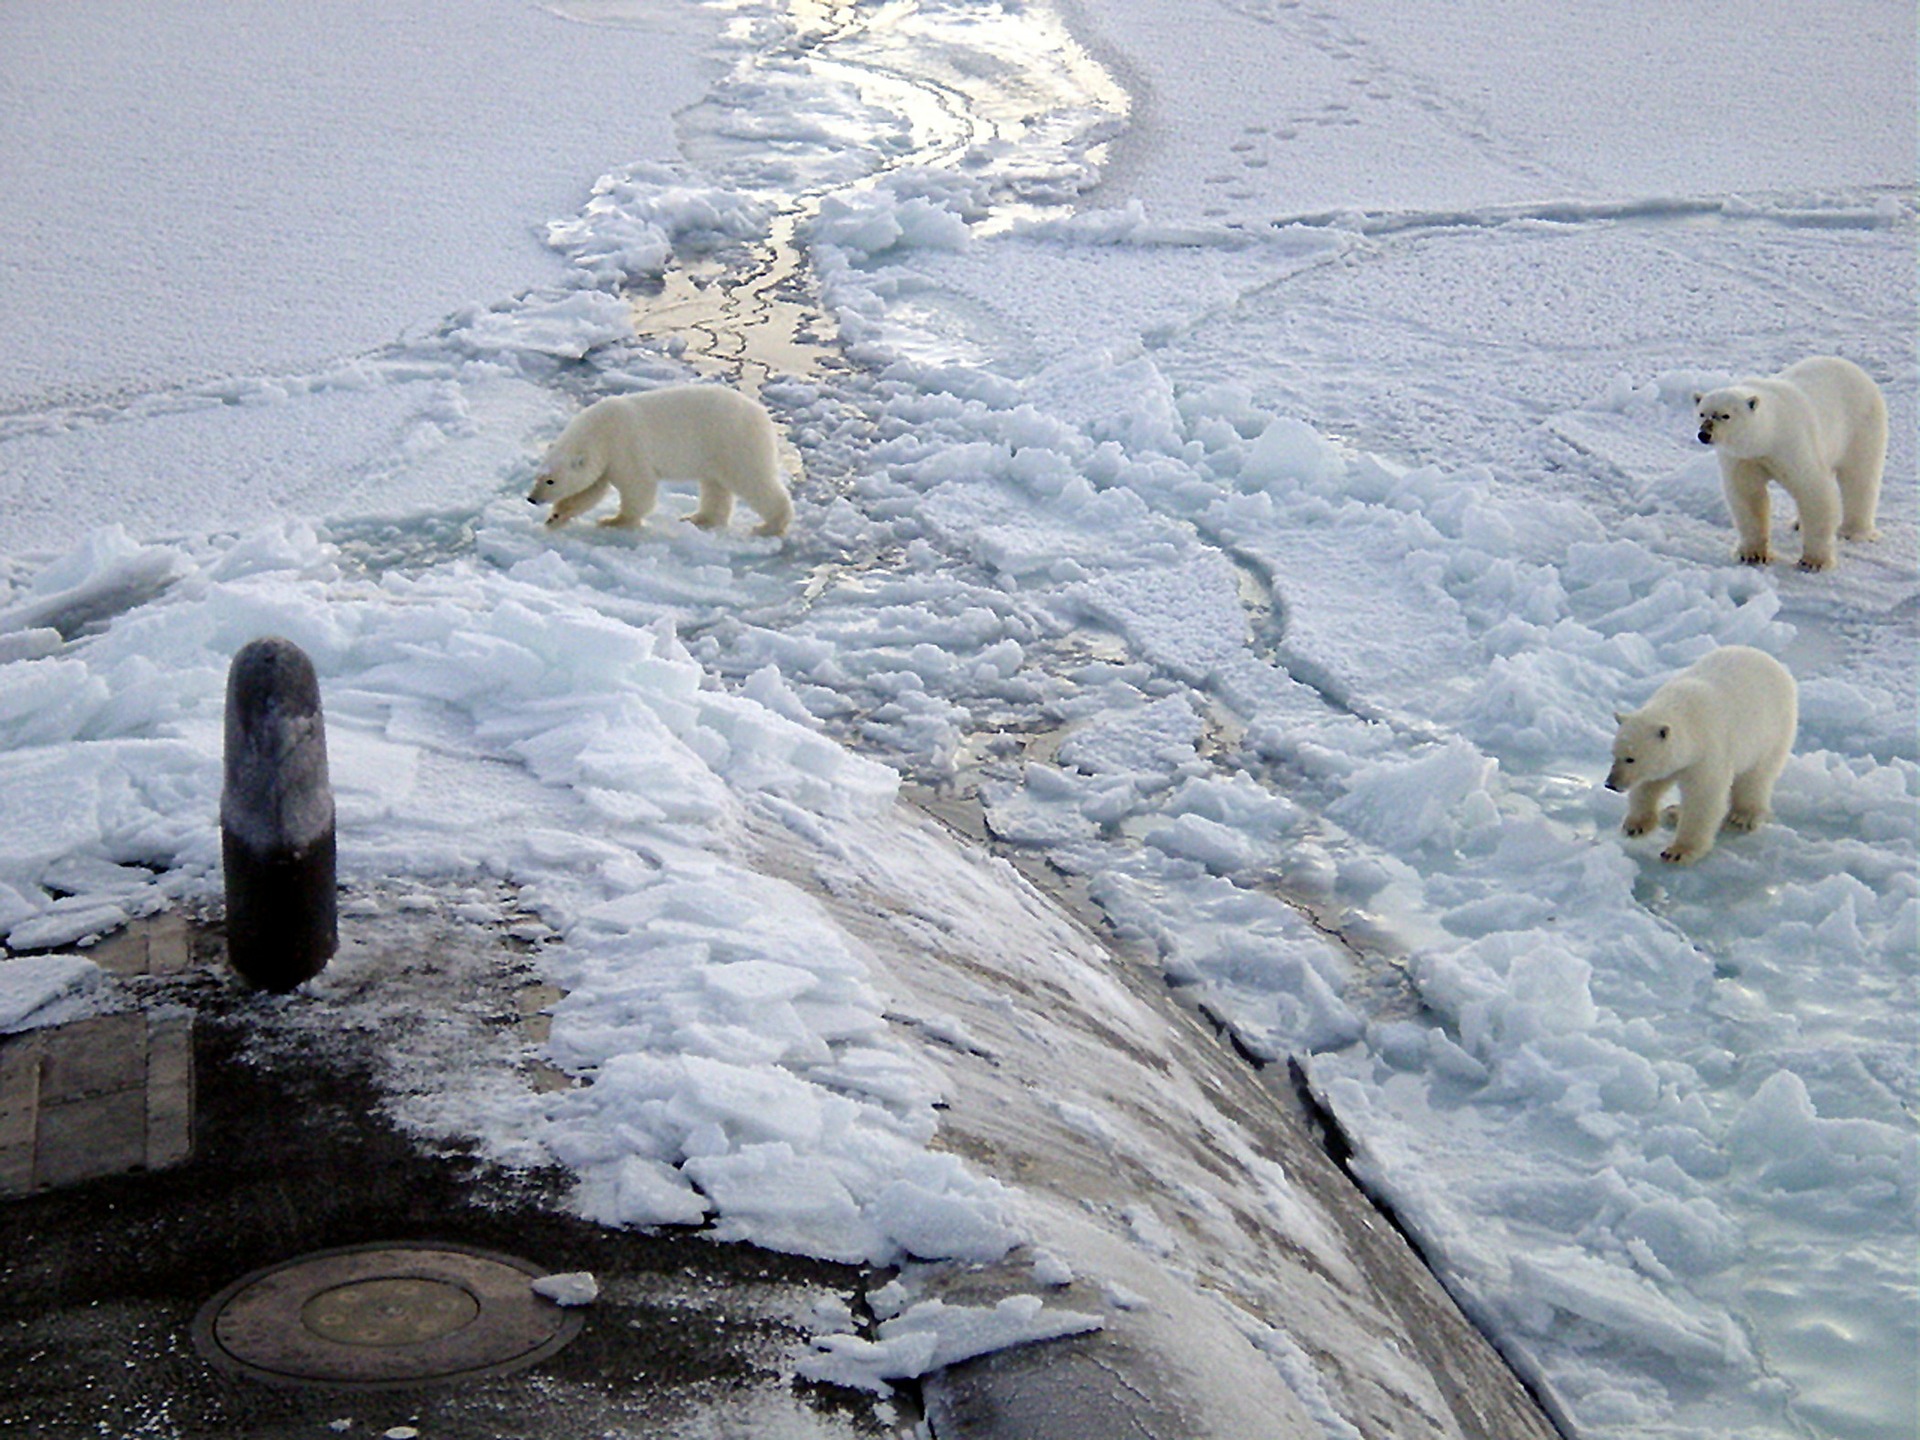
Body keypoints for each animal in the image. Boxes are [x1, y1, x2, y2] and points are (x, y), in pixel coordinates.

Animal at [529, 385, 791, 537]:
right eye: (538, 476)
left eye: (551, 481)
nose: (532, 499)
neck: (600, 429)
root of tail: (762, 414)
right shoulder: (604, 459)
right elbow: (590, 490)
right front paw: (555, 518)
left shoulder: (624, 446)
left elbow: (638, 487)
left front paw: (614, 521)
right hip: (715, 452)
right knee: (715, 485)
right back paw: (700, 519)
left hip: (734, 441)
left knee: (752, 480)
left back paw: (770, 526)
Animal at [1605, 645, 1797, 867]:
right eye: (1614, 754)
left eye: (1631, 758)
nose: (1610, 784)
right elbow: (1649, 785)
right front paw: (1636, 825)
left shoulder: (1708, 751)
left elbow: (1703, 797)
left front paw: (1677, 852)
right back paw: (1674, 811)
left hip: (1772, 734)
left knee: (1756, 778)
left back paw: (1741, 816)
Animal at [1697, 355, 1889, 568]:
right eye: (1702, 413)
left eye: (1725, 415)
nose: (1704, 434)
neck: (1769, 433)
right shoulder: (1744, 458)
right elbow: (1748, 496)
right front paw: (1752, 554)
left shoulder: (1792, 443)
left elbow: (1813, 490)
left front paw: (1813, 561)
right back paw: (1799, 523)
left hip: (1861, 425)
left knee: (1860, 477)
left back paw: (1853, 531)